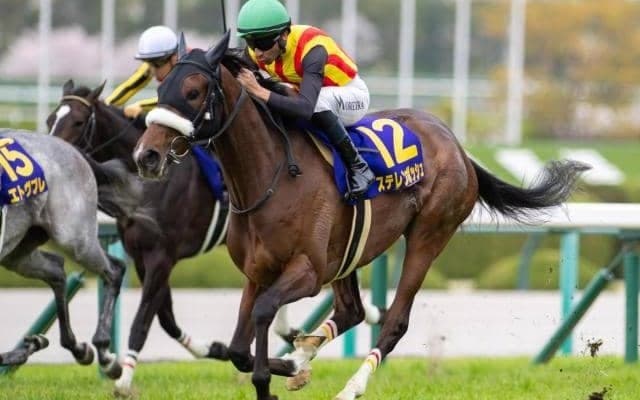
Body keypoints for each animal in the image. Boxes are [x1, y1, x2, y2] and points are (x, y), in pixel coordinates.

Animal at [0, 129, 125, 378]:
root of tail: (70, 148)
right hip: (17, 250)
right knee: (57, 269)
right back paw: (72, 348)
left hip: (75, 238)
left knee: (114, 269)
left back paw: (105, 354)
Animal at [132, 32, 589, 400]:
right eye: (161, 86)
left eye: (194, 91)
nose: (147, 155)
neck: (268, 175)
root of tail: (457, 145)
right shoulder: (258, 271)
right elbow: (238, 351)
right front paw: (292, 366)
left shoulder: (307, 270)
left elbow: (262, 315)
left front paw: (275, 378)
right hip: (348, 251)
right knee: (351, 310)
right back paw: (304, 355)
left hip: (428, 235)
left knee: (395, 321)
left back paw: (351, 387)